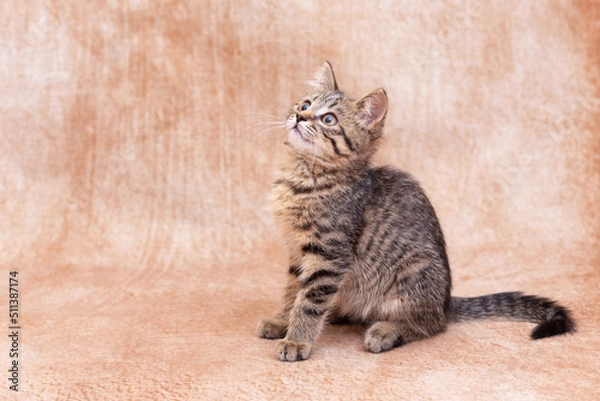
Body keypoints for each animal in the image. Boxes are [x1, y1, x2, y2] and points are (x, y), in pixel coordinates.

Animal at [255, 62, 576, 362]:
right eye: (305, 105)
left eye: (329, 119)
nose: (299, 116)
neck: (304, 176)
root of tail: (446, 302)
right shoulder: (297, 253)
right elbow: (292, 292)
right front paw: (282, 321)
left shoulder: (329, 256)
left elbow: (309, 301)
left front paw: (297, 340)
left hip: (414, 270)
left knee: (432, 325)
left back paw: (386, 331)